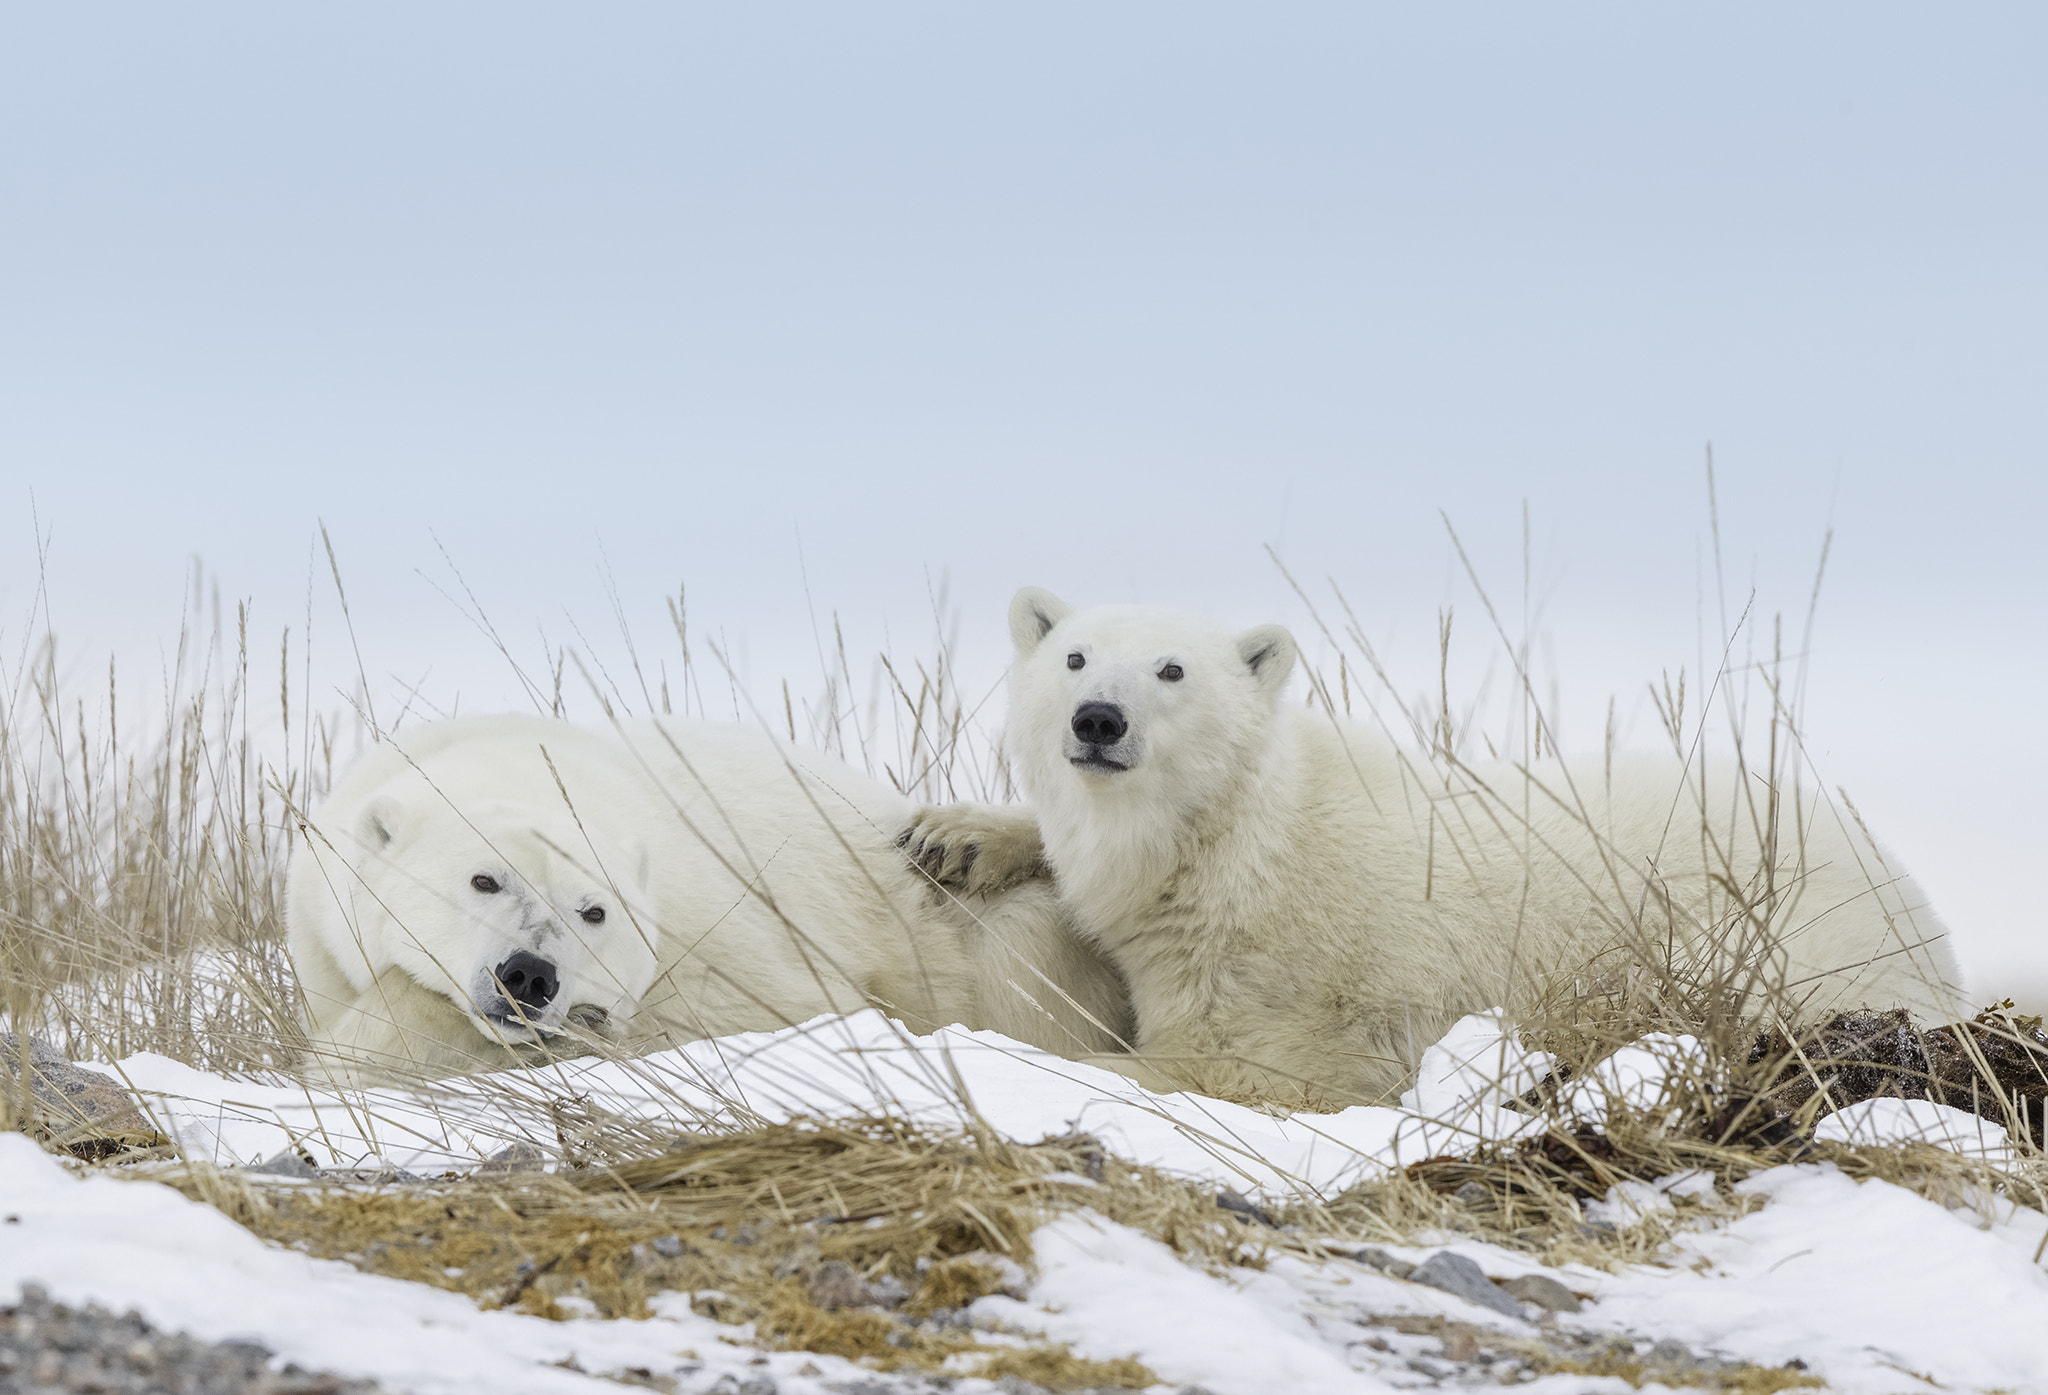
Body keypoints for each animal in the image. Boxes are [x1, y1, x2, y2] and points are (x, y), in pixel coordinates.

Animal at [284, 712, 1138, 1081]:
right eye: (483, 876)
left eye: (595, 909)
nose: (530, 975)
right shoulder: (320, 929)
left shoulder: (710, 929)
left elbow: (760, 1012)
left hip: (979, 918)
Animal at [909, 585, 1966, 1106]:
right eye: (1074, 655)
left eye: (1171, 669)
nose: (1097, 719)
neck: (1239, 844)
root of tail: (1916, 901)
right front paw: (951, 836)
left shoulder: (1290, 984)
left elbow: (1232, 1067)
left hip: (1782, 939)